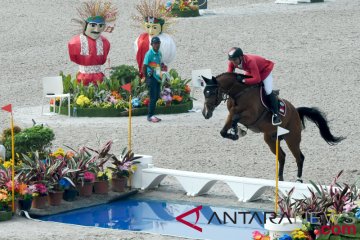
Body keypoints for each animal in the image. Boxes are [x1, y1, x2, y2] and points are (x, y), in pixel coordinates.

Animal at [201, 72, 344, 183]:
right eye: (204, 92)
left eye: (212, 92)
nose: (205, 113)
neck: (239, 93)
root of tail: (296, 111)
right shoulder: (231, 114)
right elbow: (223, 131)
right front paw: (236, 133)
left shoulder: (251, 116)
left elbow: (236, 119)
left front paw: (238, 131)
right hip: (271, 139)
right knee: (282, 157)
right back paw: (280, 179)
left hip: (292, 139)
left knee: (299, 157)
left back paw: (298, 180)